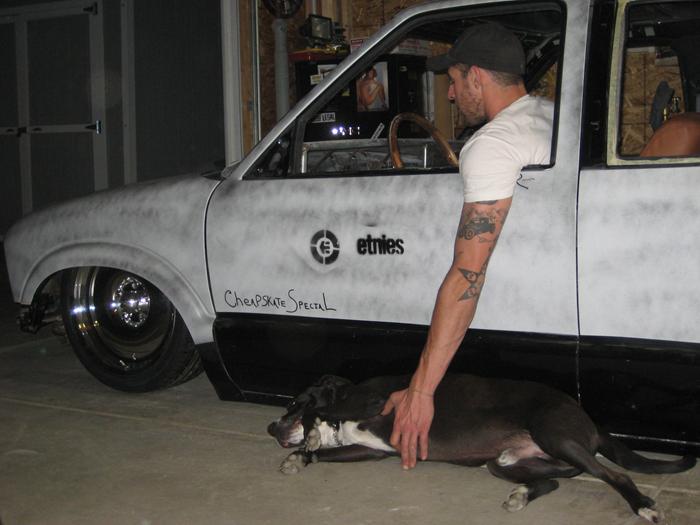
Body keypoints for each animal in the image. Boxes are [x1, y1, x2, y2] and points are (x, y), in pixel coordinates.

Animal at [268, 374, 696, 523]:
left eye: (293, 403)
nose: (271, 427)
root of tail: (588, 421)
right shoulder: (372, 451)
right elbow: (325, 450)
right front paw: (302, 454)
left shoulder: (371, 404)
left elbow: (323, 412)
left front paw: (310, 432)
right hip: (504, 462)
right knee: (553, 481)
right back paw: (521, 495)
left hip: (556, 436)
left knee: (616, 475)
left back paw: (643, 505)